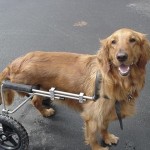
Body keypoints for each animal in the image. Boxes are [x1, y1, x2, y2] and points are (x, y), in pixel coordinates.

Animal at [0, 27, 150, 149]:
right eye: (113, 42)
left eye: (133, 40)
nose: (121, 57)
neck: (115, 81)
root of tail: (14, 63)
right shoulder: (92, 115)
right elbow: (93, 137)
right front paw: (98, 148)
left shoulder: (106, 112)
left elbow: (104, 127)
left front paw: (107, 138)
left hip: (41, 88)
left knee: (35, 101)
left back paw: (46, 111)